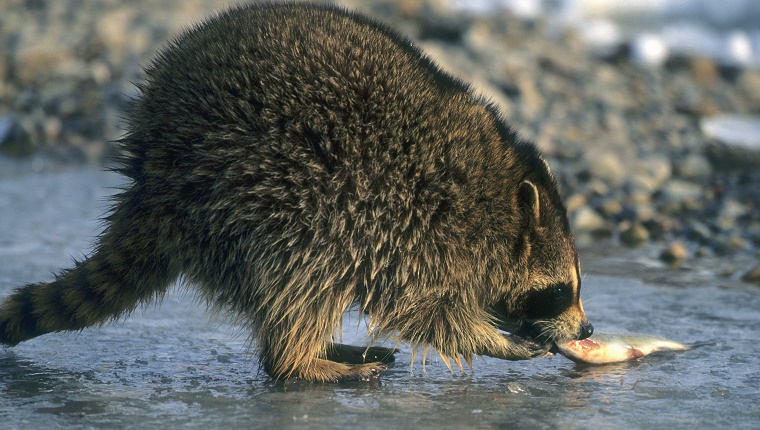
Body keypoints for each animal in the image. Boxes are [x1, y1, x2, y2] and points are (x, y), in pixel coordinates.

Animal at [0, 2, 592, 380]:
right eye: (561, 290)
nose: (587, 327)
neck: (499, 207)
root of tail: (147, 180)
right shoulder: (423, 232)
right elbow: (426, 314)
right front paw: (493, 341)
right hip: (256, 193)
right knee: (303, 273)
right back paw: (300, 362)